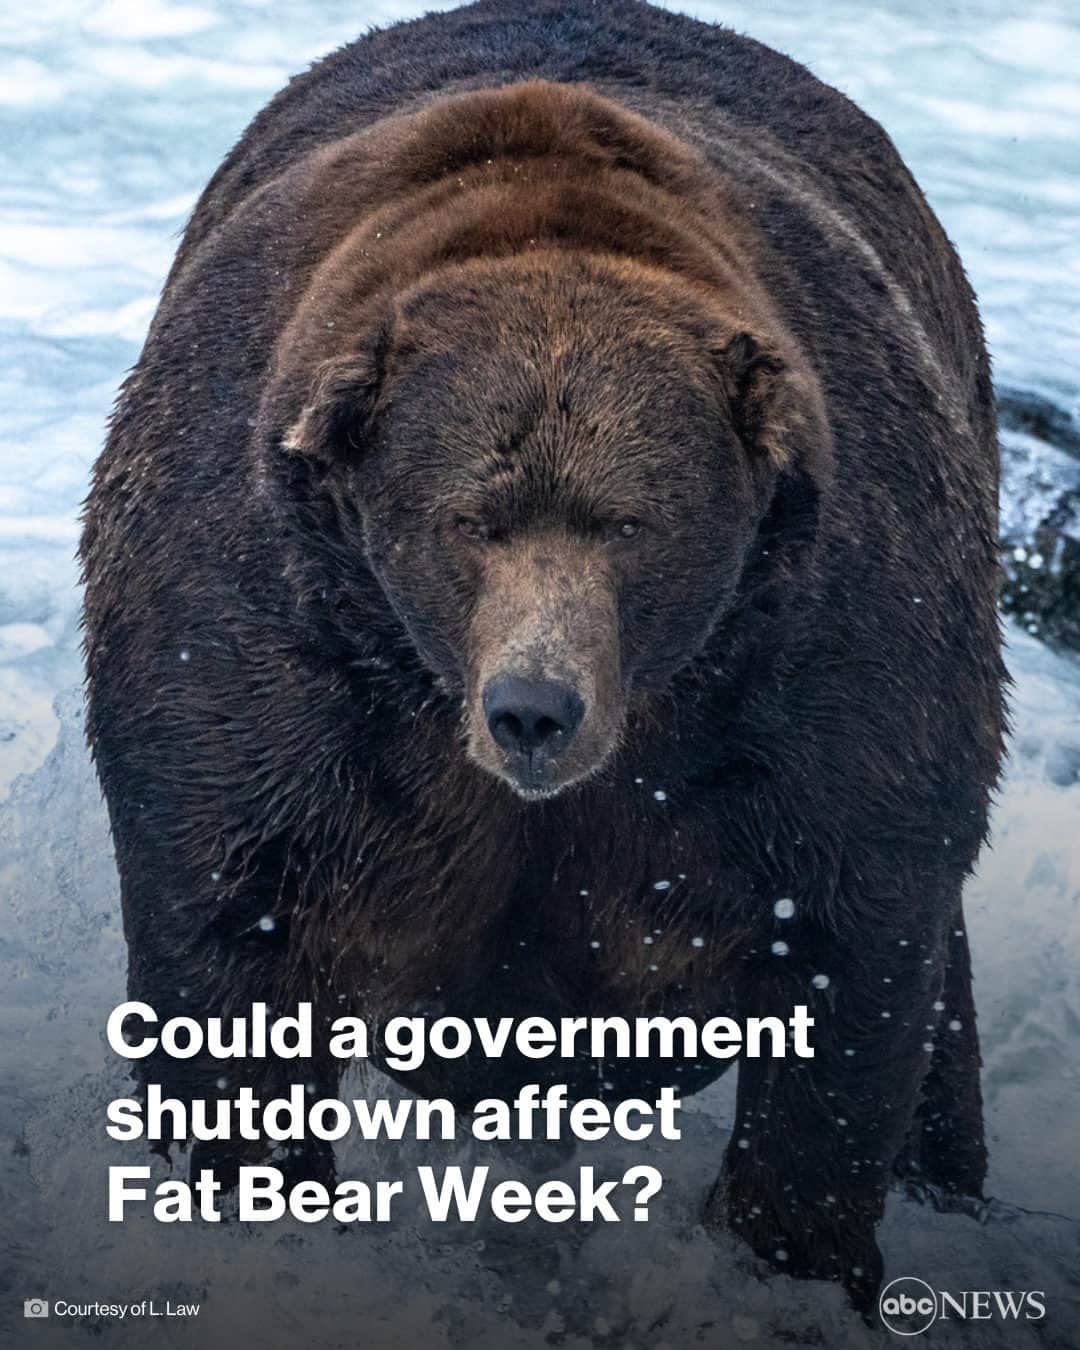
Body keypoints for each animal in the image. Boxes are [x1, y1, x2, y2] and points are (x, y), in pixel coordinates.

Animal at [81, 0, 1005, 1314]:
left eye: (631, 523)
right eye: (469, 519)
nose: (534, 708)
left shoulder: (829, 645)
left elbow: (851, 948)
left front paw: (793, 1256)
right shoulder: (265, 635)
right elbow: (231, 929)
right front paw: (248, 1215)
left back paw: (948, 1174)